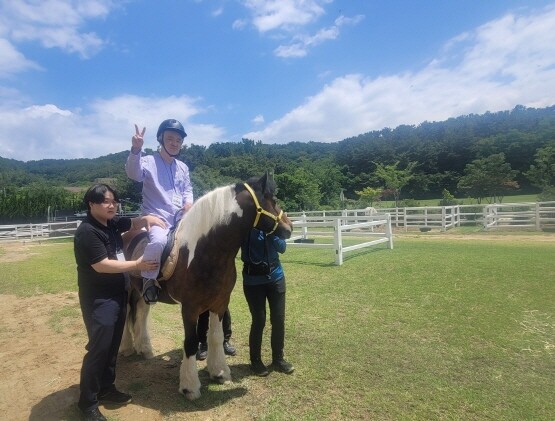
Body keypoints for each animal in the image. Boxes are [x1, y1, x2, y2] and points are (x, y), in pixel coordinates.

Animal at [119, 172, 294, 398]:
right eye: (272, 200)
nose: (289, 228)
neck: (206, 252)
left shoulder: (219, 303)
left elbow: (216, 337)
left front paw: (219, 372)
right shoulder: (190, 308)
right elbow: (191, 343)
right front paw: (189, 387)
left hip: (143, 293)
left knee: (141, 314)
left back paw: (145, 348)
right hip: (128, 290)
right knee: (127, 316)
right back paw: (127, 348)